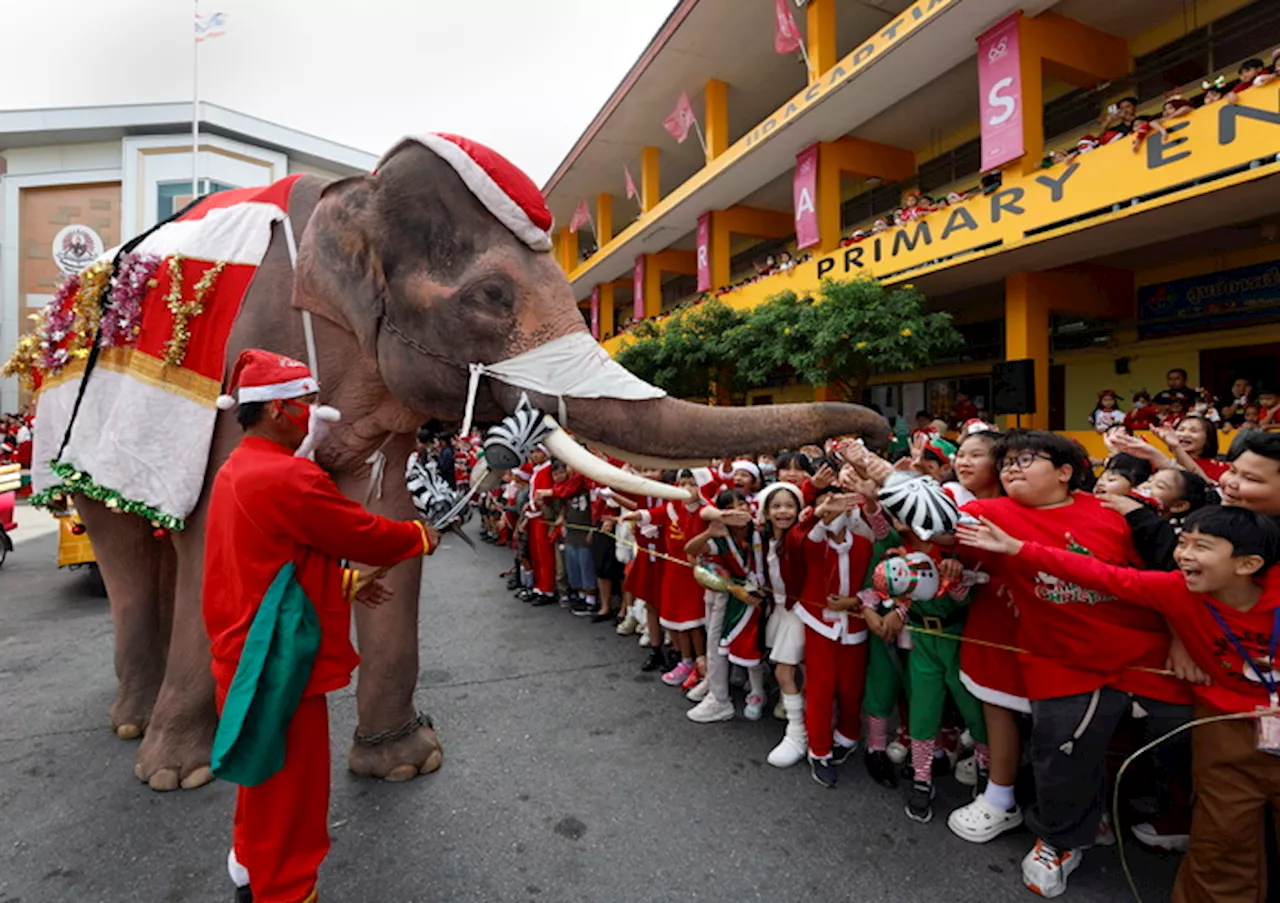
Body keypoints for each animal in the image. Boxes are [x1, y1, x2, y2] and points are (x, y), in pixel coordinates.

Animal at [52, 133, 890, 789]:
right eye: (491, 295)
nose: (872, 429)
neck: (351, 199)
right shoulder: (248, 356)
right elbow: (216, 526)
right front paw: (179, 774)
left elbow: (384, 519)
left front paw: (406, 762)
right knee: (128, 546)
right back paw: (142, 728)